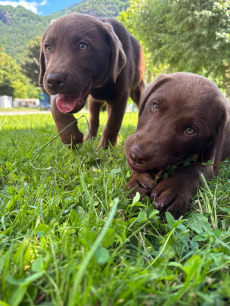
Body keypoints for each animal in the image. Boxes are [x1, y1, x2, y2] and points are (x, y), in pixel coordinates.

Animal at [38, 12, 145, 149]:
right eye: (48, 47)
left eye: (83, 46)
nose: (53, 80)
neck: (102, 84)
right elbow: (55, 106)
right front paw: (70, 136)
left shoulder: (120, 96)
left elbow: (112, 124)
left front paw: (104, 149)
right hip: (93, 101)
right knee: (94, 119)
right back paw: (88, 139)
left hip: (138, 89)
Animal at [126, 72, 230, 218]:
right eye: (155, 106)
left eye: (189, 130)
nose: (135, 154)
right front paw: (137, 180)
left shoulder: (210, 163)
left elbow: (193, 170)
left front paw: (174, 189)